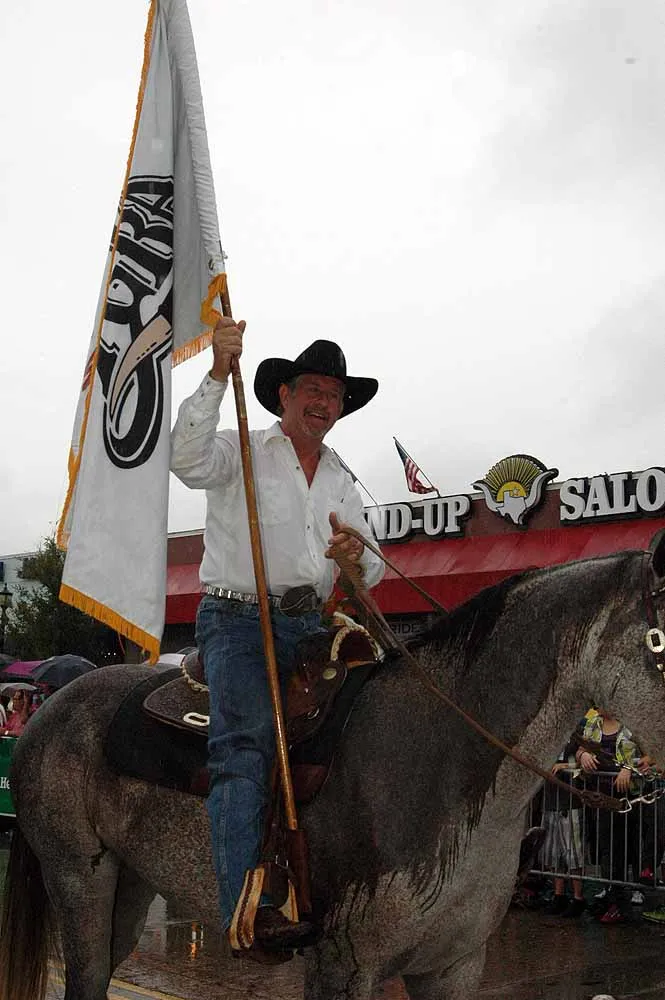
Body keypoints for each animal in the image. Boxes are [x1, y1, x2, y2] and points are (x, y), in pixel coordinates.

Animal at [3, 537, 665, 1000]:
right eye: (659, 640)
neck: (439, 754)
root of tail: (48, 712)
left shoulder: (453, 966)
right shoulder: (343, 962)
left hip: (129, 883)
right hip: (77, 877)